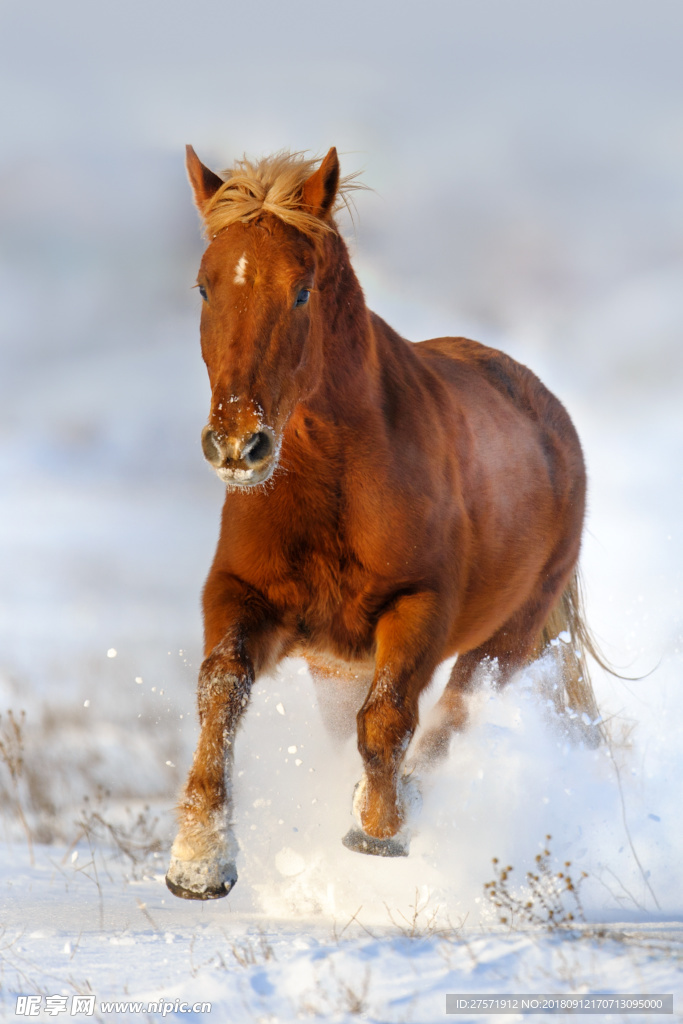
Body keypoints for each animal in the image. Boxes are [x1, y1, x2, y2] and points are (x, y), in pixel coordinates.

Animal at [163, 146, 598, 905]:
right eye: (204, 287)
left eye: (302, 291)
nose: (238, 445)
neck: (329, 486)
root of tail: (548, 414)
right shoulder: (242, 595)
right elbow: (219, 691)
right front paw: (199, 860)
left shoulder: (417, 607)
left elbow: (390, 716)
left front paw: (379, 827)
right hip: (335, 668)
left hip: (506, 640)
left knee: (454, 712)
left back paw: (405, 803)